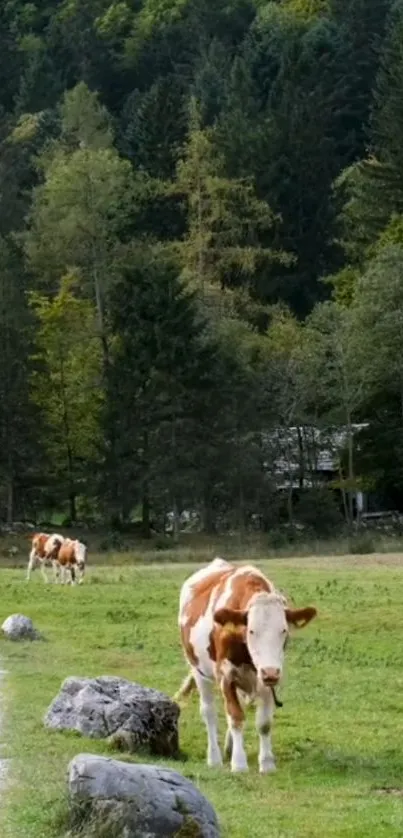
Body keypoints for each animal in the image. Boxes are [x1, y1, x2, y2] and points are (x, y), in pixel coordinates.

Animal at [175, 560, 318, 776]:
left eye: (284, 630)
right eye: (251, 630)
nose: (270, 672)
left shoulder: (267, 679)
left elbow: (264, 723)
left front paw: (267, 763)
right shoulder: (226, 675)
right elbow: (235, 716)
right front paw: (239, 763)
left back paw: (229, 747)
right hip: (199, 671)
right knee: (209, 712)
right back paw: (214, 758)